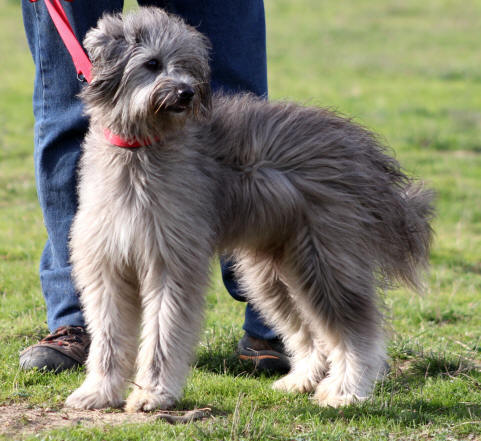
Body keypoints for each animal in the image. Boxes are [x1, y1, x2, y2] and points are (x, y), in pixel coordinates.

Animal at [63, 7, 432, 412]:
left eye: (187, 67)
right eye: (152, 63)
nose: (186, 92)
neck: (139, 148)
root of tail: (366, 155)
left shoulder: (170, 261)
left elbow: (163, 332)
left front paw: (154, 393)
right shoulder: (107, 264)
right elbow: (109, 337)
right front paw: (98, 391)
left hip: (325, 261)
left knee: (354, 330)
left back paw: (346, 390)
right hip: (274, 272)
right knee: (308, 330)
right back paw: (301, 380)